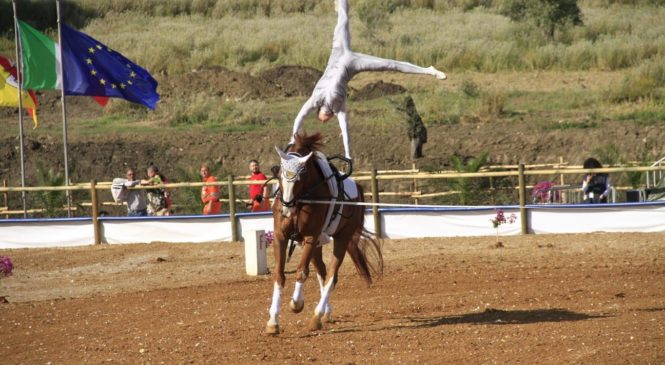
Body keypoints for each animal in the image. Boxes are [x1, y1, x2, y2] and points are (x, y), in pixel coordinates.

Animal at [264, 132, 382, 334]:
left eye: (301, 177)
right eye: (278, 174)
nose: (286, 207)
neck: (301, 200)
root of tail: (358, 189)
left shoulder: (311, 237)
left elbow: (301, 272)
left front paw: (296, 304)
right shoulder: (281, 237)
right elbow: (279, 275)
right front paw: (273, 321)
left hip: (341, 238)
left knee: (332, 275)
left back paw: (317, 316)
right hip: (318, 243)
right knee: (323, 271)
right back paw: (326, 313)